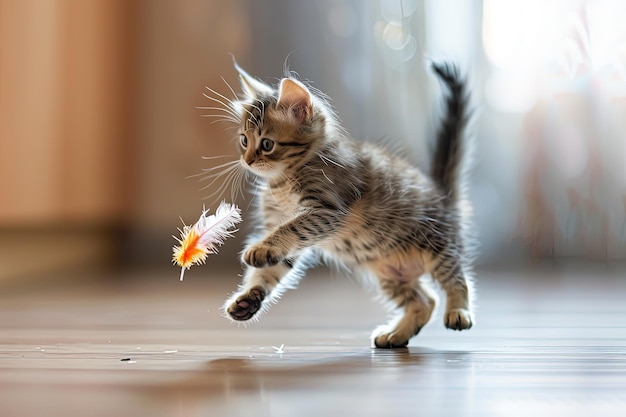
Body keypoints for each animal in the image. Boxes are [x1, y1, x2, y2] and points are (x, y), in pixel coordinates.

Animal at [219, 61, 472, 348]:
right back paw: (395, 334)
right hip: (391, 276)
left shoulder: (326, 211)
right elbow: (269, 270)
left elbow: (289, 229)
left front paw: (262, 248)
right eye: (244, 140)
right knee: (426, 301)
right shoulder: (285, 225)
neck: (281, 182)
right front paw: (248, 299)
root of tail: (442, 193)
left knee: (455, 276)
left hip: (435, 244)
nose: (247, 160)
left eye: (266, 144)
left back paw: (458, 311)